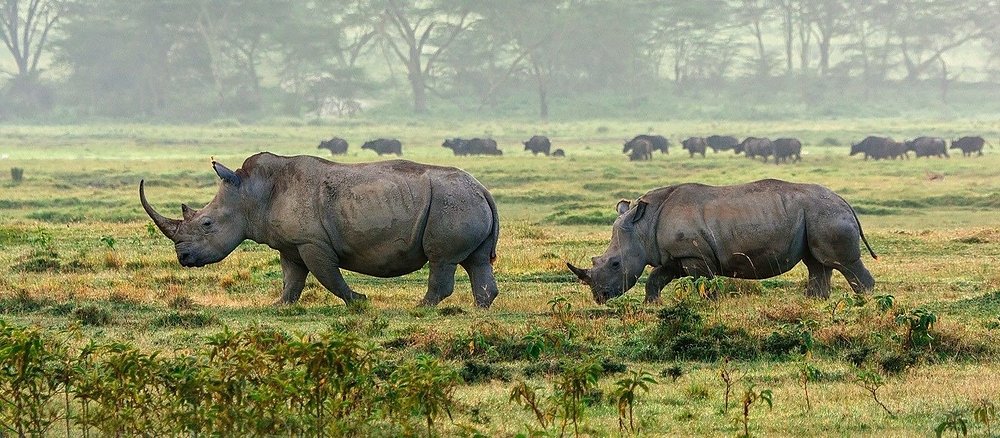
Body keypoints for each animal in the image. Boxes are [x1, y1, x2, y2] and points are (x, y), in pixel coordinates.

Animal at [140, 152, 500, 307]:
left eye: (207, 224)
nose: (183, 258)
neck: (250, 193)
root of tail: (484, 189)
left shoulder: (310, 241)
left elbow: (327, 275)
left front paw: (359, 301)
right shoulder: (289, 244)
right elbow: (292, 278)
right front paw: (279, 306)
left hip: (452, 201)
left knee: (442, 260)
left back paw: (420, 309)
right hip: (463, 199)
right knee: (477, 261)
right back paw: (480, 310)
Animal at [567, 179, 877, 304]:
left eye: (615, 264)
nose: (599, 297)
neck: (643, 224)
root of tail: (845, 202)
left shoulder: (695, 257)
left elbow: (705, 284)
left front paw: (712, 305)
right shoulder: (677, 256)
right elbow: (656, 277)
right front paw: (651, 304)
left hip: (827, 214)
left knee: (842, 263)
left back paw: (865, 301)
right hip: (814, 215)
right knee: (817, 264)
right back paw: (814, 302)